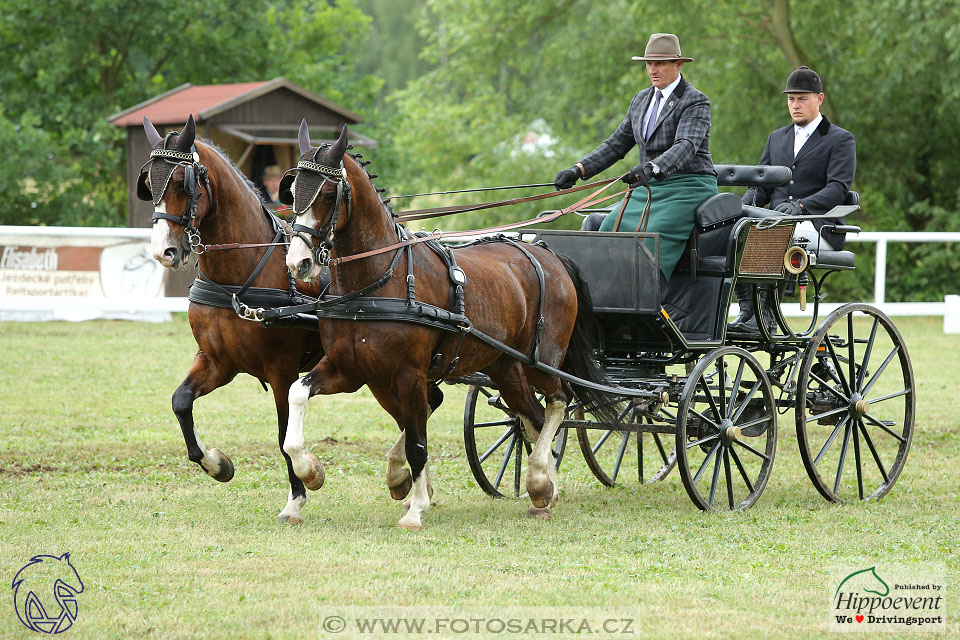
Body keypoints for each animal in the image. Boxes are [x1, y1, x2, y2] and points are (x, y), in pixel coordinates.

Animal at [139, 115, 326, 524]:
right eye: (149, 183)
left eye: (182, 183)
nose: (163, 252)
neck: (239, 278)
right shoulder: (218, 361)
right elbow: (180, 401)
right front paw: (216, 463)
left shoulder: (282, 370)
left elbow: (283, 434)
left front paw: (296, 498)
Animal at [282, 121, 608, 528]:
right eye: (293, 190)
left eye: (327, 194)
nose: (299, 263)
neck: (378, 280)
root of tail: (548, 254)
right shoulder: (349, 369)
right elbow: (297, 395)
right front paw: (311, 472)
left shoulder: (408, 375)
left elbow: (418, 443)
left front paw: (416, 509)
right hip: (504, 367)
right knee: (531, 418)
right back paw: (544, 490)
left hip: (541, 361)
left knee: (558, 401)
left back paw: (537, 478)